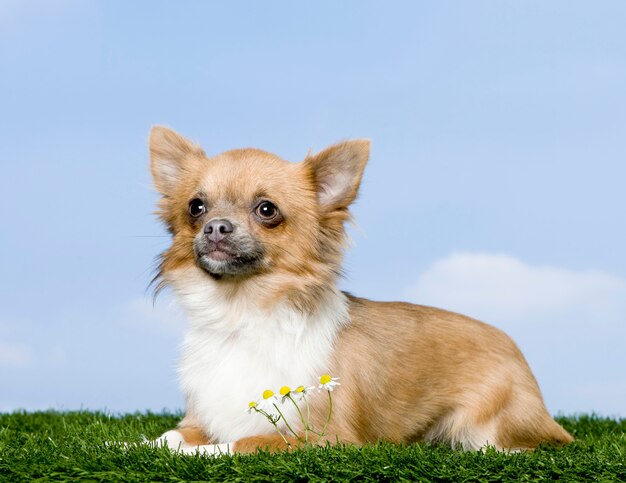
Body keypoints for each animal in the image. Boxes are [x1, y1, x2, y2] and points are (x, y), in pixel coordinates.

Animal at [147, 126, 572, 456]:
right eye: (195, 207)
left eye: (267, 210)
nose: (216, 227)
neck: (240, 315)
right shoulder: (202, 417)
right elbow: (169, 437)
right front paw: (137, 445)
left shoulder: (321, 439)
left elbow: (240, 444)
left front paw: (200, 452)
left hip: (482, 425)